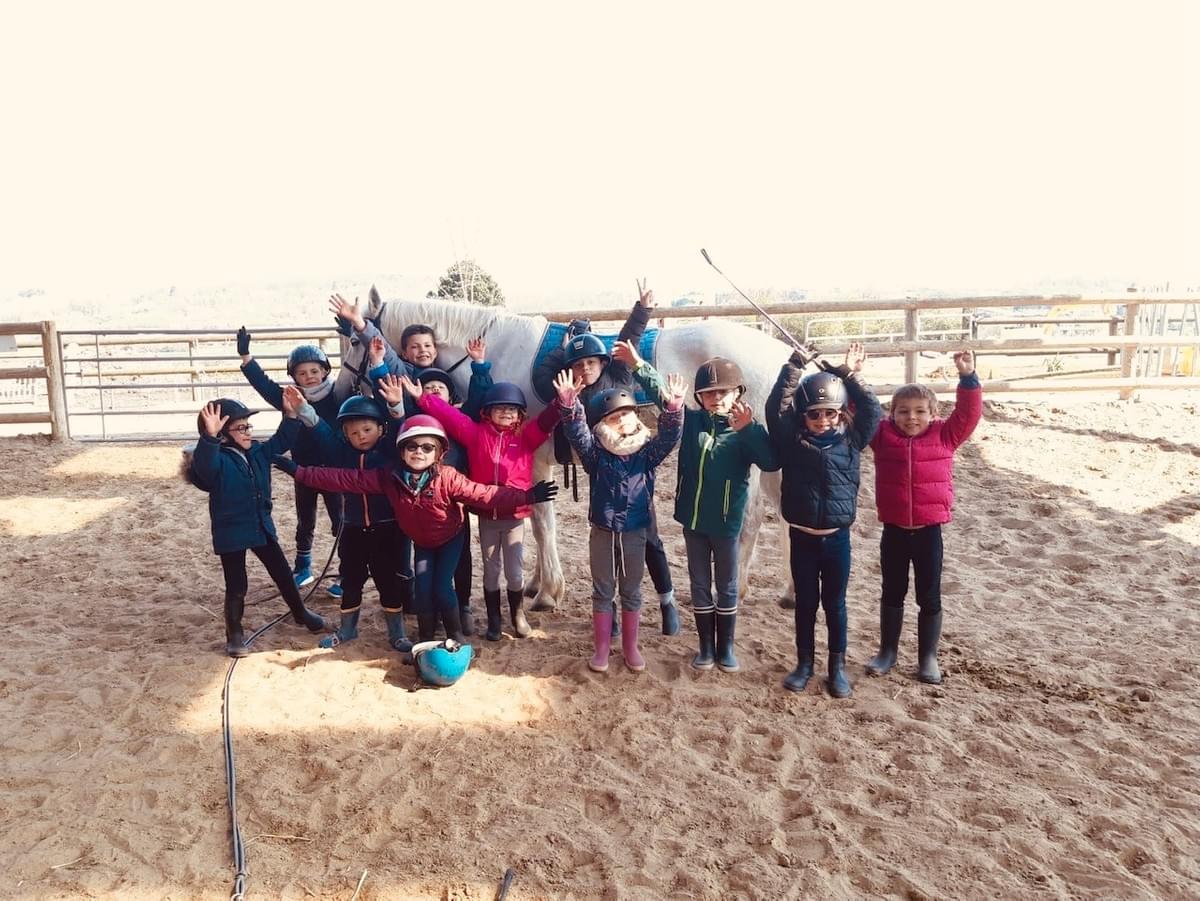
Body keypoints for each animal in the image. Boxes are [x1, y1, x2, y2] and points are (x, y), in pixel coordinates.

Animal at [336, 287, 794, 612]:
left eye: (357, 341)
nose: (340, 393)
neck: (498, 354)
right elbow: (538, 519)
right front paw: (538, 583)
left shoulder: (536, 461)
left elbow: (541, 524)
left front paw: (546, 593)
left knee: (753, 519)